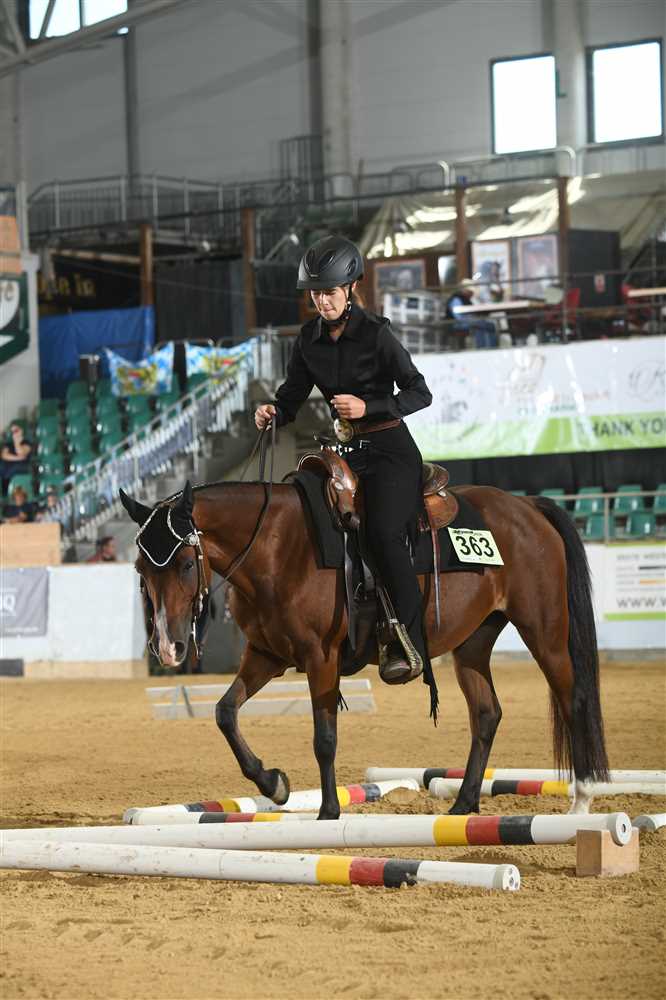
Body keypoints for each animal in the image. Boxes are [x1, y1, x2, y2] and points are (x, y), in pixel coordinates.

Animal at [120, 469, 609, 820]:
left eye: (186, 563)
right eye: (141, 569)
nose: (168, 647)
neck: (279, 548)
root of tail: (527, 506)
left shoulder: (321, 657)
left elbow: (324, 737)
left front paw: (328, 811)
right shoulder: (267, 656)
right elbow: (225, 712)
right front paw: (272, 783)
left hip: (545, 631)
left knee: (573, 700)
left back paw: (581, 800)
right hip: (473, 642)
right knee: (487, 715)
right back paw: (464, 803)